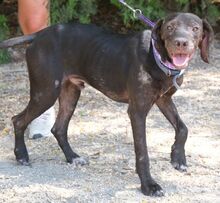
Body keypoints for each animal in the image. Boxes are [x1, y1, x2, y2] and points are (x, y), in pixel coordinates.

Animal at [0, 12, 213, 195]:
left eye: (195, 28)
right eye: (170, 27)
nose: (181, 43)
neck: (157, 57)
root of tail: (39, 35)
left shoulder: (164, 99)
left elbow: (183, 128)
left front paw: (178, 158)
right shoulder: (137, 111)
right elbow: (142, 152)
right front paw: (149, 185)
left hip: (71, 92)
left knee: (58, 128)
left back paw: (73, 157)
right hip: (45, 93)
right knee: (18, 120)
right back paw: (21, 155)